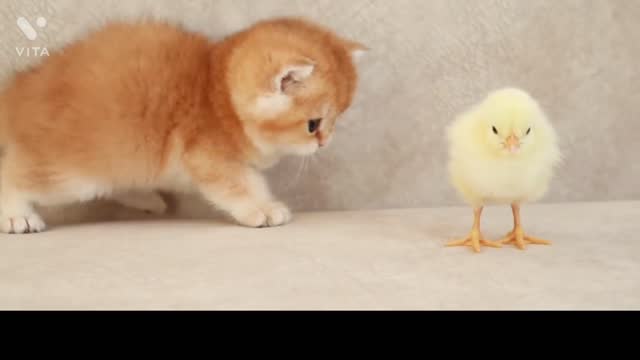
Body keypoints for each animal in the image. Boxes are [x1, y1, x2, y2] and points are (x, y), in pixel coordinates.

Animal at [0, 17, 364, 233]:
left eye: (336, 119)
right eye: (313, 124)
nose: (325, 142)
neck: (216, 93)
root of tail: (19, 89)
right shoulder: (207, 154)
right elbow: (241, 184)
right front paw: (263, 208)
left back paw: (146, 198)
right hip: (70, 173)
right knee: (13, 174)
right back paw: (16, 216)